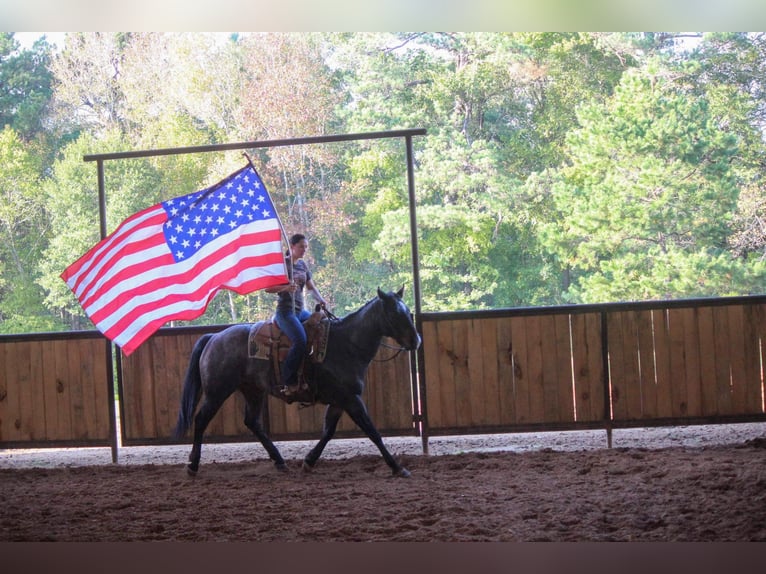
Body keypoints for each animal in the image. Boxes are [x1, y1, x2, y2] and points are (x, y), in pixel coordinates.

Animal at [174, 290, 424, 480]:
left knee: (252, 422)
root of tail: (214, 337)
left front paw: (309, 461)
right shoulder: (351, 400)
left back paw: (279, 461)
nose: (416, 341)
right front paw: (397, 467)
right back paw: (193, 465)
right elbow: (372, 432)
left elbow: (328, 431)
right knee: (201, 419)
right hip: (217, 392)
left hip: (253, 391)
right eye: (394, 313)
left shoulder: (340, 400)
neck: (346, 345)